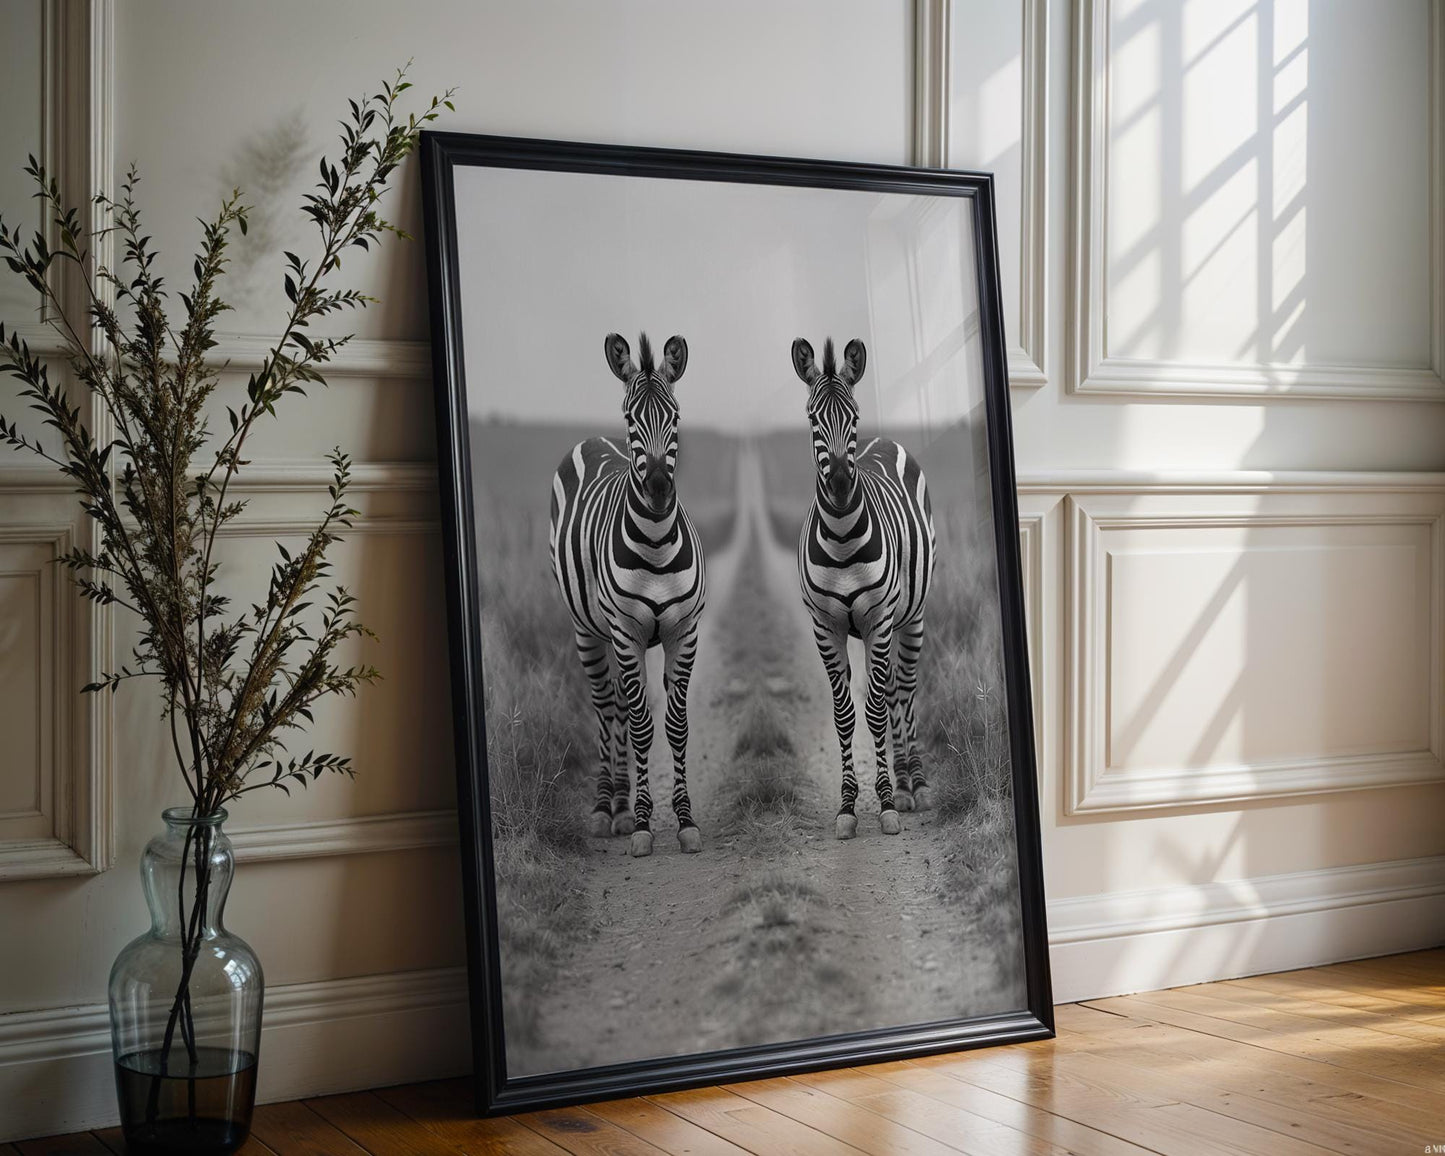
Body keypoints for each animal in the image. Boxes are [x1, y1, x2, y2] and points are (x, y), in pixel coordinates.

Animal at [548, 332, 707, 858]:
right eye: (631, 420)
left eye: (675, 417)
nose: (658, 489)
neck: (655, 543)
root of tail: (592, 441)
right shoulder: (626, 632)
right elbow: (640, 726)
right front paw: (640, 823)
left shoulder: (684, 632)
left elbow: (674, 724)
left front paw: (684, 819)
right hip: (590, 631)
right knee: (607, 706)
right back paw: (607, 809)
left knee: (618, 702)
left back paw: (617, 804)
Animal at [792, 336, 937, 840]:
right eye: (812, 418)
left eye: (852, 416)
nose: (838, 483)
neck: (840, 539)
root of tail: (883, 439)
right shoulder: (825, 627)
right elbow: (845, 716)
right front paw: (848, 805)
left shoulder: (878, 618)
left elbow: (875, 709)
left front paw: (888, 802)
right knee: (890, 688)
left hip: (910, 618)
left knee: (903, 689)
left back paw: (914, 783)